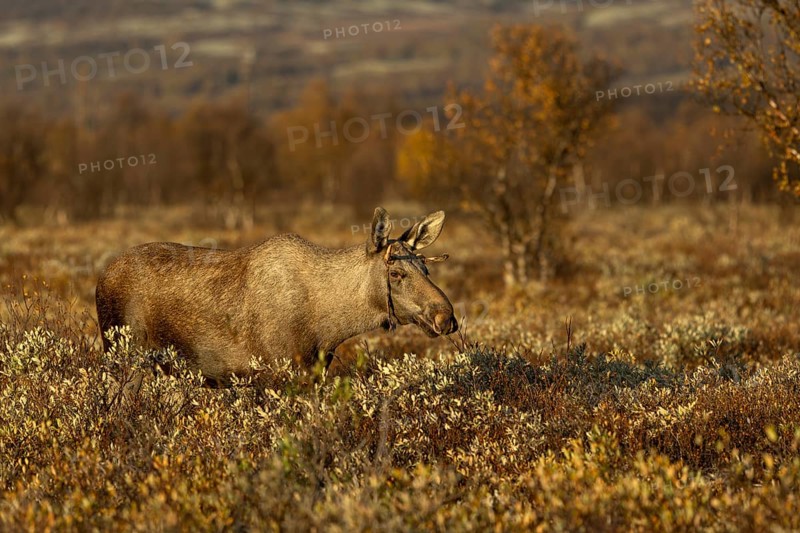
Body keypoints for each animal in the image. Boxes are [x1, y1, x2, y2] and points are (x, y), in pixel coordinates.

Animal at [95, 207, 458, 387]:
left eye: (425, 266)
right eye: (396, 274)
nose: (446, 317)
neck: (330, 325)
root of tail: (100, 278)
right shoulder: (278, 372)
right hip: (124, 359)